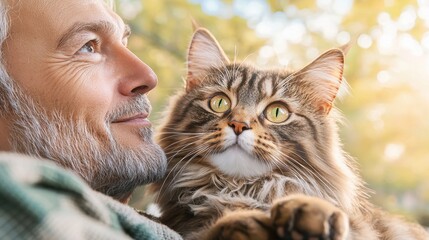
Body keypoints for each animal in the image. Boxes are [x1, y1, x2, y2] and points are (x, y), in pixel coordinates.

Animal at [148, 28, 428, 240]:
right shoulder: (187, 228)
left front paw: (308, 212)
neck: (241, 189)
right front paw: (248, 222)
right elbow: (222, 227)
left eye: (277, 112)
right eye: (219, 103)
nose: (239, 125)